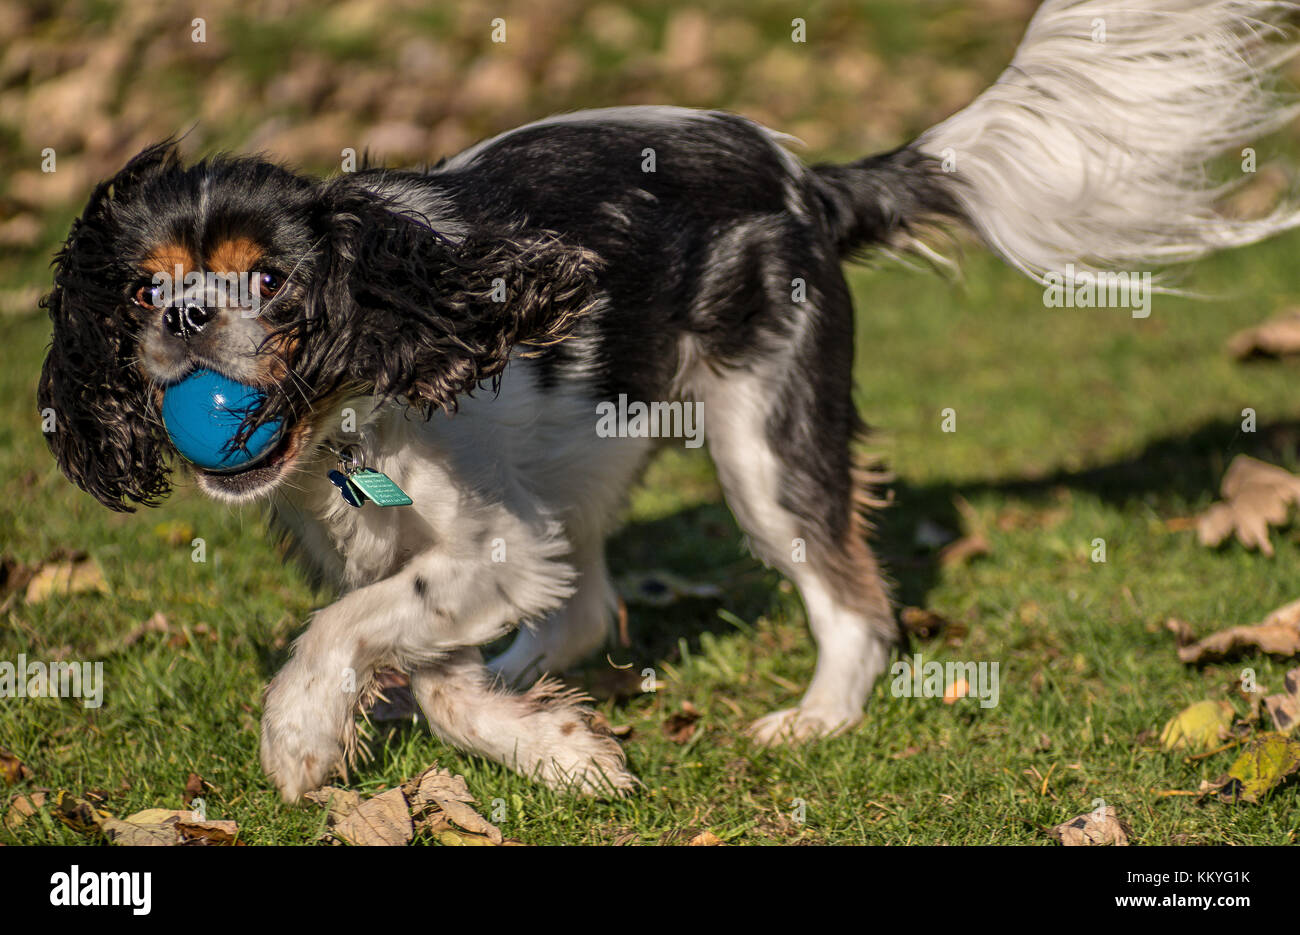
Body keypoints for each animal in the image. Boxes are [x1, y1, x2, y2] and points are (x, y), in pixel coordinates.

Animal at [35, 1, 1300, 806]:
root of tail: (807, 181)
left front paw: (299, 736)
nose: (184, 320)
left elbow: (350, 630)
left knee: (850, 597)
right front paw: (555, 747)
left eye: (270, 283)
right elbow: (426, 660)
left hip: (761, 441)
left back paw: (817, 715)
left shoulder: (485, 541)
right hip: (588, 452)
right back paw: (526, 684)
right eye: (142, 288)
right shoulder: (437, 547)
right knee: (585, 604)